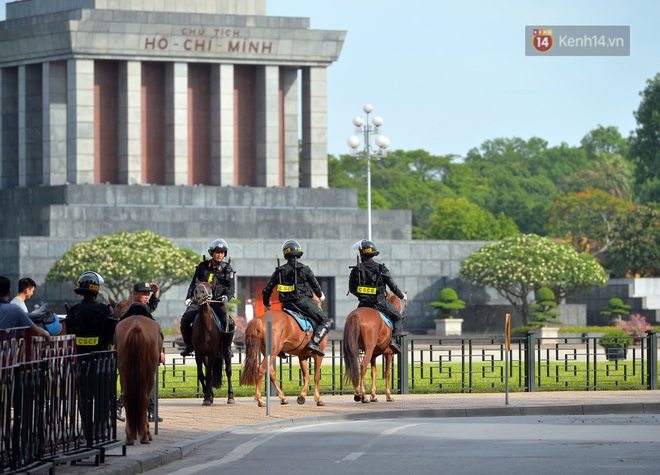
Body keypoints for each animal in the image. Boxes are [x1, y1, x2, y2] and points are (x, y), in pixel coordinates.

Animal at [113, 316, 160, 446]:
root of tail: (136, 328)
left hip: (124, 372)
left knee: (127, 397)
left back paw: (130, 436)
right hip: (149, 373)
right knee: (144, 398)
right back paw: (144, 435)